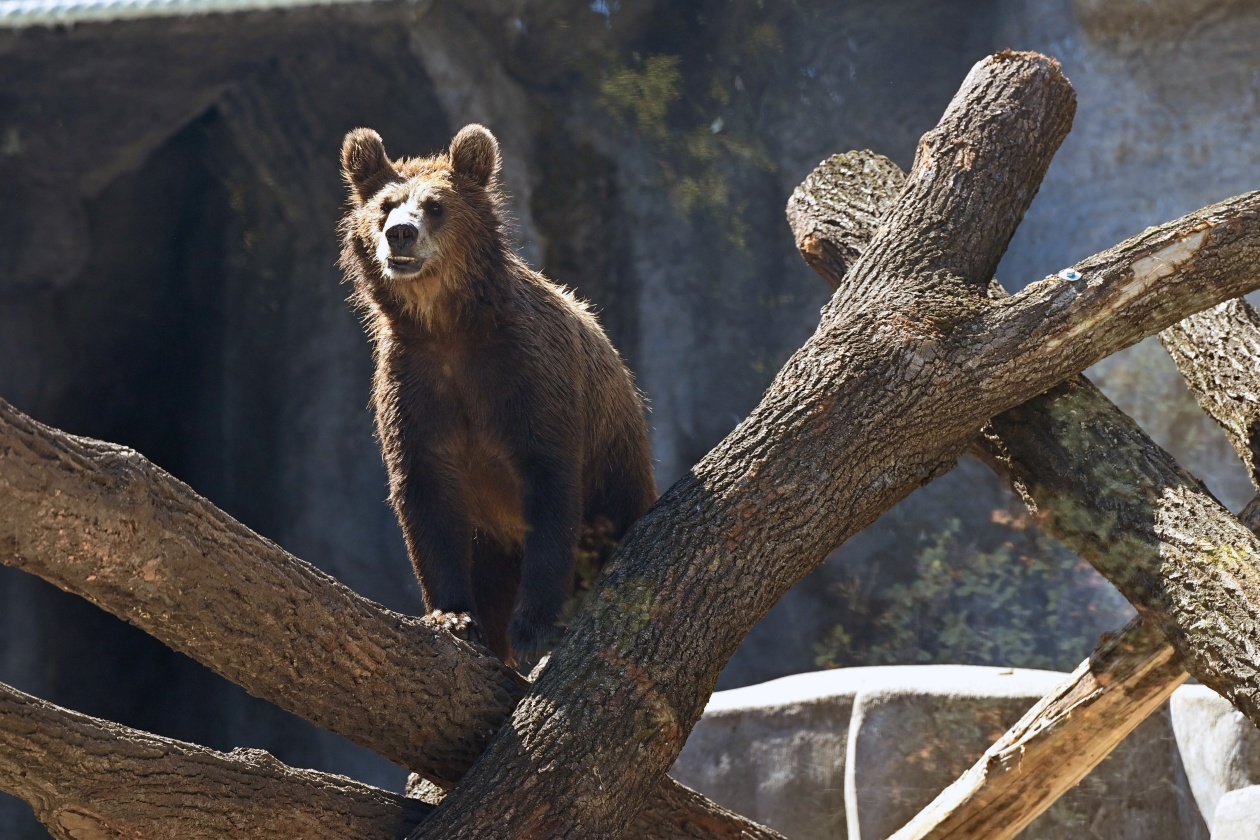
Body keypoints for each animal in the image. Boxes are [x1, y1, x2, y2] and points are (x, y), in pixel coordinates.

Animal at [340, 123, 655, 664]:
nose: (400, 233)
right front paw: (454, 617)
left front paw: (533, 627)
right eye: (385, 204)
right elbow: (425, 495)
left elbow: (550, 485)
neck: (448, 329)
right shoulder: (415, 389)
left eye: (435, 205)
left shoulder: (527, 377)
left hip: (621, 472)